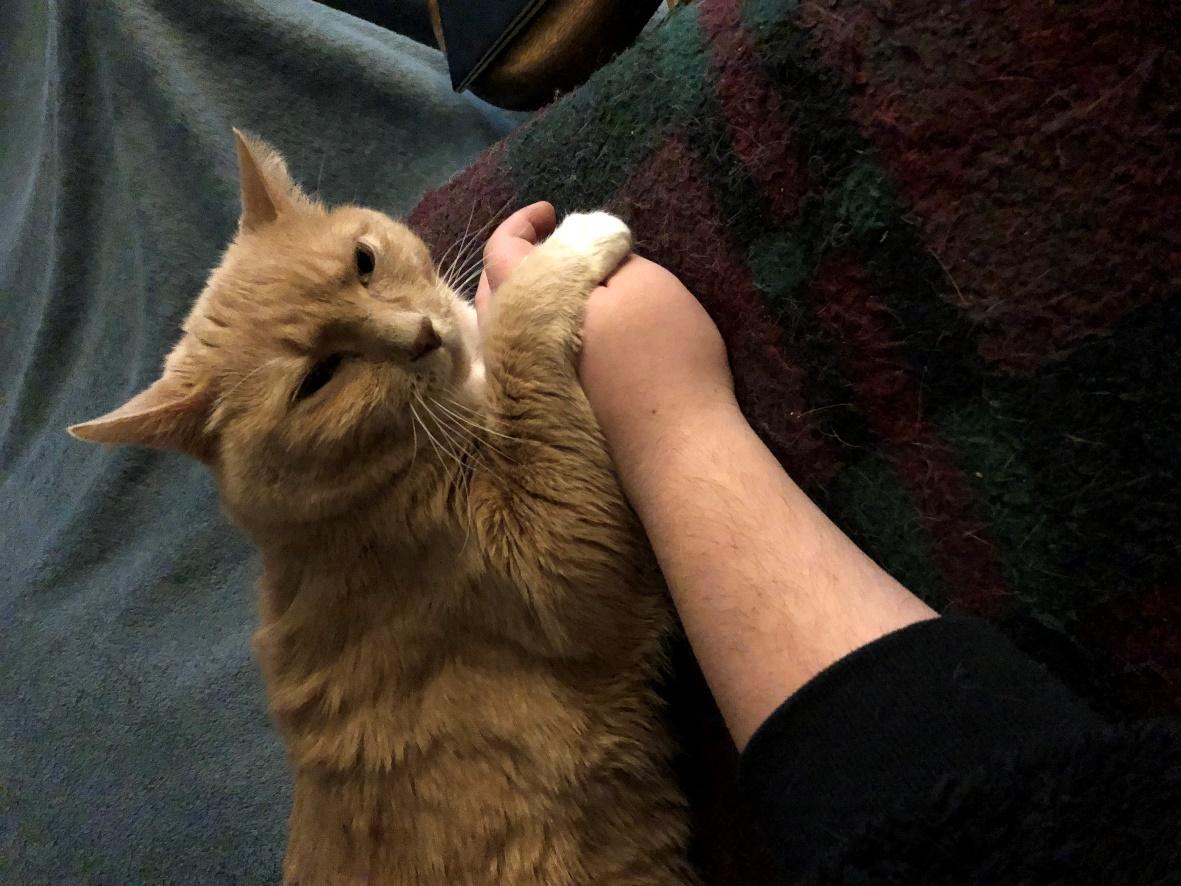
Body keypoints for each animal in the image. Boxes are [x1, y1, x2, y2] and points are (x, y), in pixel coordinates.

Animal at [69, 131, 693, 885]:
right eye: (319, 377)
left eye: (363, 263)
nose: (422, 335)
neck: (361, 499)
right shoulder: (557, 565)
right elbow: (515, 327)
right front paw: (568, 246)